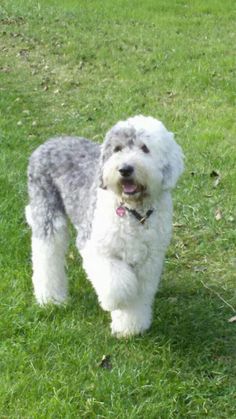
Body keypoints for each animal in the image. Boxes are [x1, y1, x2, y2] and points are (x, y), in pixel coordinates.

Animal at [25, 115, 184, 338]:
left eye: (145, 148)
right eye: (117, 148)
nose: (125, 169)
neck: (134, 213)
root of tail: (49, 142)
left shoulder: (149, 260)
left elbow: (139, 294)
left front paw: (129, 328)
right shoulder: (94, 245)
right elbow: (117, 284)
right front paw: (113, 301)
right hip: (47, 213)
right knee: (46, 256)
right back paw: (51, 299)